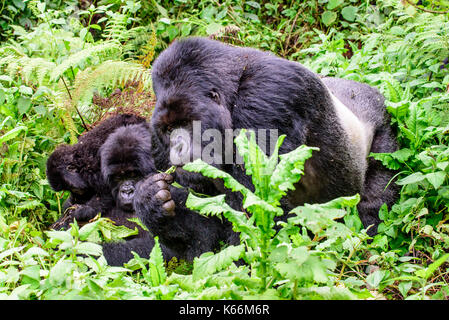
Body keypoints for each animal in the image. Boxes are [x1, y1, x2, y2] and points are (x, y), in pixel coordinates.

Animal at [133, 36, 396, 256]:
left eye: (187, 123)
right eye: (169, 129)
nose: (176, 149)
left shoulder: (266, 98)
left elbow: (258, 219)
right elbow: (204, 238)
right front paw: (151, 202)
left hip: (385, 128)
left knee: (373, 203)